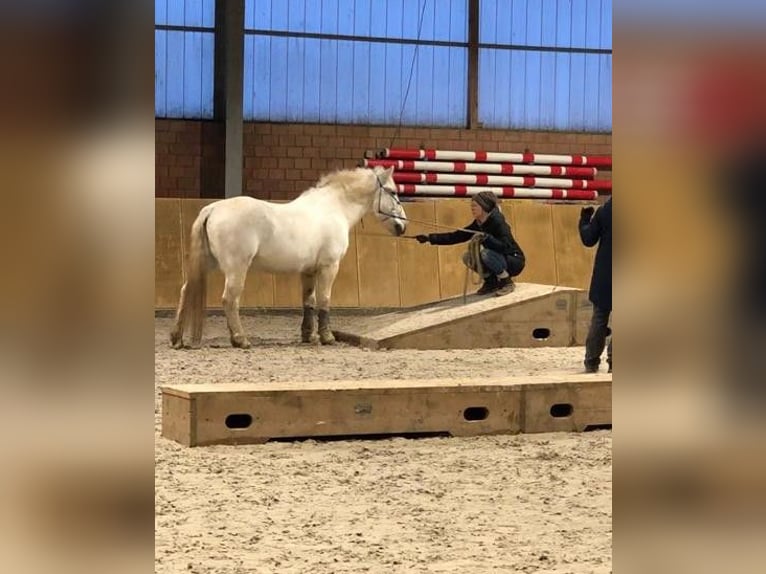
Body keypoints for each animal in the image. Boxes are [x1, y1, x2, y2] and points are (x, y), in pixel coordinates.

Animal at [170, 164, 408, 348]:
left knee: (186, 291)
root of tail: (212, 209)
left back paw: (176, 338)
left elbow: (309, 301)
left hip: (207, 264)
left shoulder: (308, 271)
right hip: (236, 268)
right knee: (229, 299)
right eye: (393, 192)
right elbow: (324, 299)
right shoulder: (329, 266)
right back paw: (240, 339)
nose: (402, 227)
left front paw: (308, 336)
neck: (334, 208)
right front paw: (327, 337)